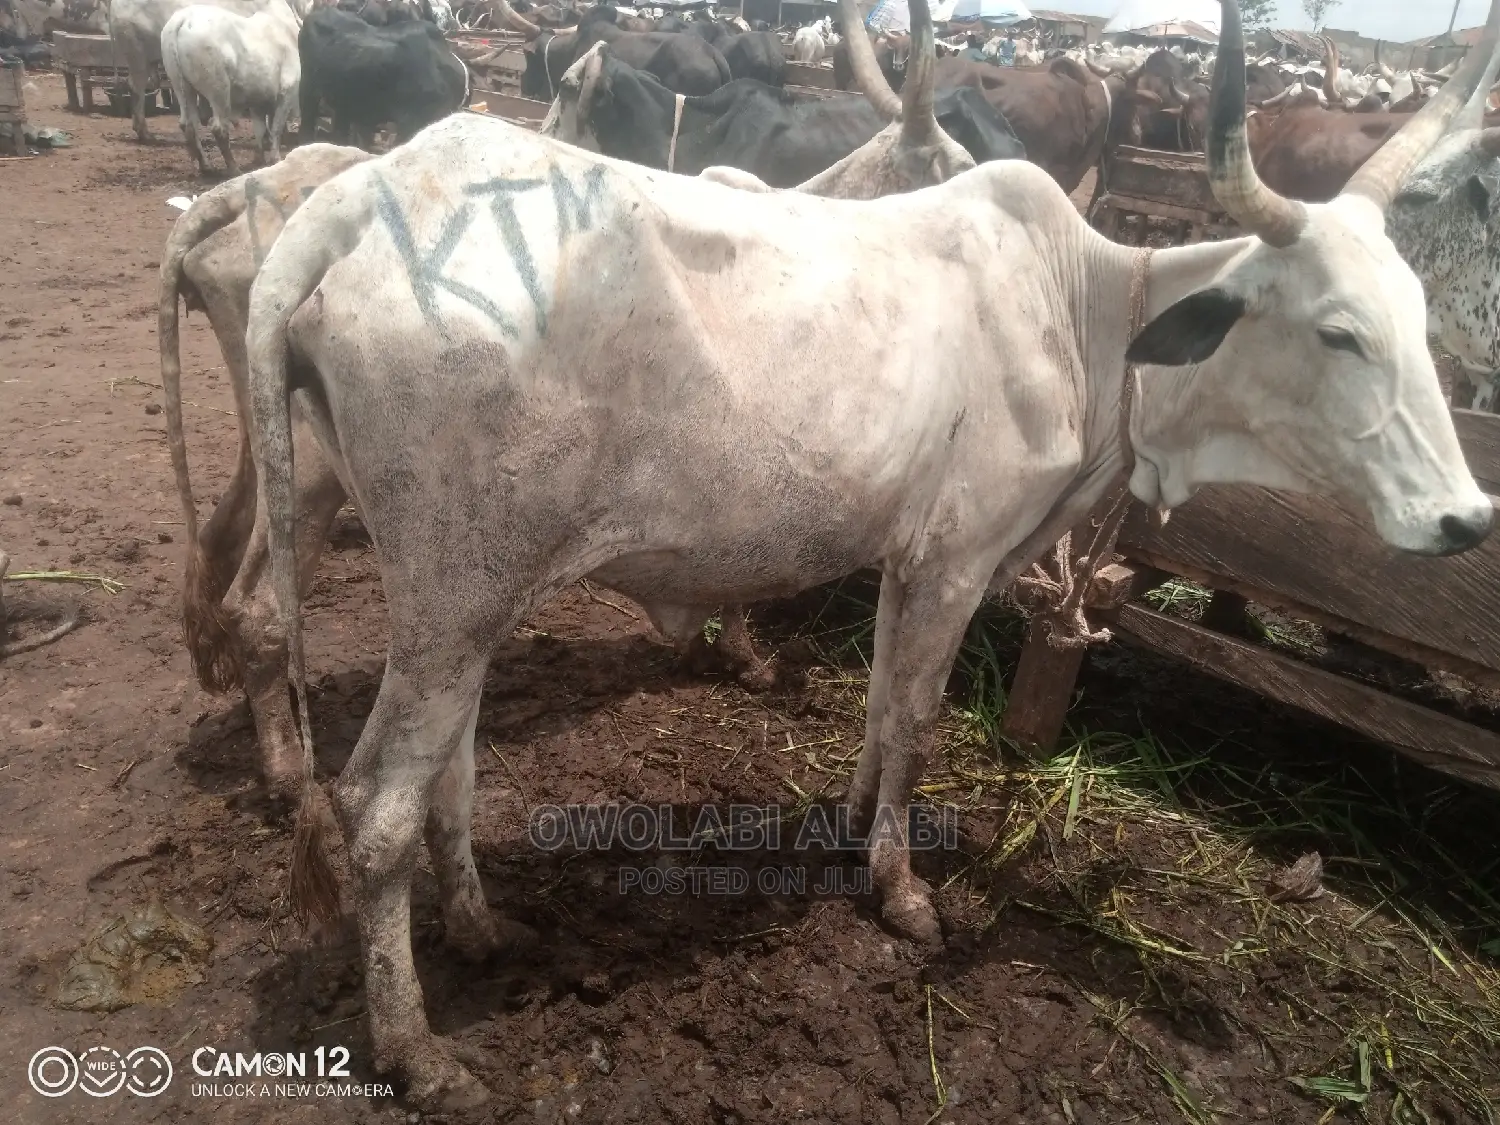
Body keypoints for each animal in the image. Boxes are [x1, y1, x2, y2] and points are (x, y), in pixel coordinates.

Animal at [161, 0, 309, 175]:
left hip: (181, 86)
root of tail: (183, 18)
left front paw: (259, 159)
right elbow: (276, 128)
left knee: (189, 125)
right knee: (219, 128)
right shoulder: (288, 92)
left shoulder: (258, 101)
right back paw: (234, 169)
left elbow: (260, 130)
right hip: (219, 90)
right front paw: (275, 159)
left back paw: (206, 166)